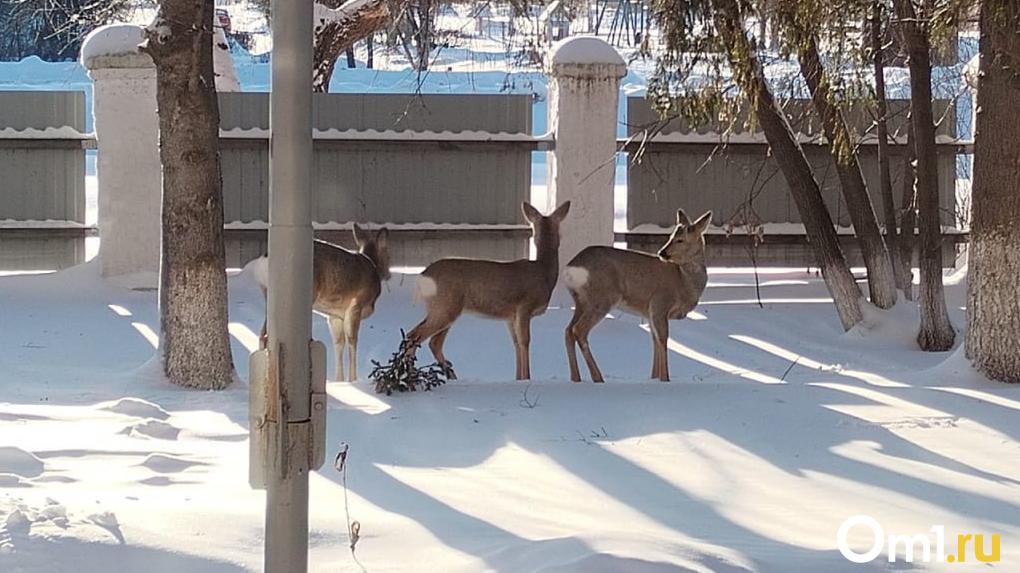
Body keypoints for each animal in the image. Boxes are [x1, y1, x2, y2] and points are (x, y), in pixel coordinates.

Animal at [255, 223, 389, 379]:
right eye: (388, 254)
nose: (388, 274)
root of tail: (264, 261)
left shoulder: (335, 314)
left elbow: (339, 343)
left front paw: (339, 380)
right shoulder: (356, 304)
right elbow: (352, 341)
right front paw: (352, 380)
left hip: (267, 295)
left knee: (262, 334)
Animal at [405, 200, 571, 379]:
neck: (543, 272)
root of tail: (422, 276)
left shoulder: (510, 316)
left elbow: (516, 344)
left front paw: (518, 378)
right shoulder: (524, 307)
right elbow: (525, 341)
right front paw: (527, 378)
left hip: (442, 307)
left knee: (432, 342)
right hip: (446, 306)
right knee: (415, 336)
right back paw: (410, 376)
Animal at [563, 206, 714, 381]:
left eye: (680, 240)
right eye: (672, 237)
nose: (662, 252)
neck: (683, 281)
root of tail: (571, 268)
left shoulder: (649, 312)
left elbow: (655, 341)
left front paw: (654, 377)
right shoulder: (659, 303)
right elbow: (663, 340)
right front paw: (665, 378)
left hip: (581, 301)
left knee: (568, 330)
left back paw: (576, 377)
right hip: (602, 298)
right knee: (579, 330)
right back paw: (598, 377)